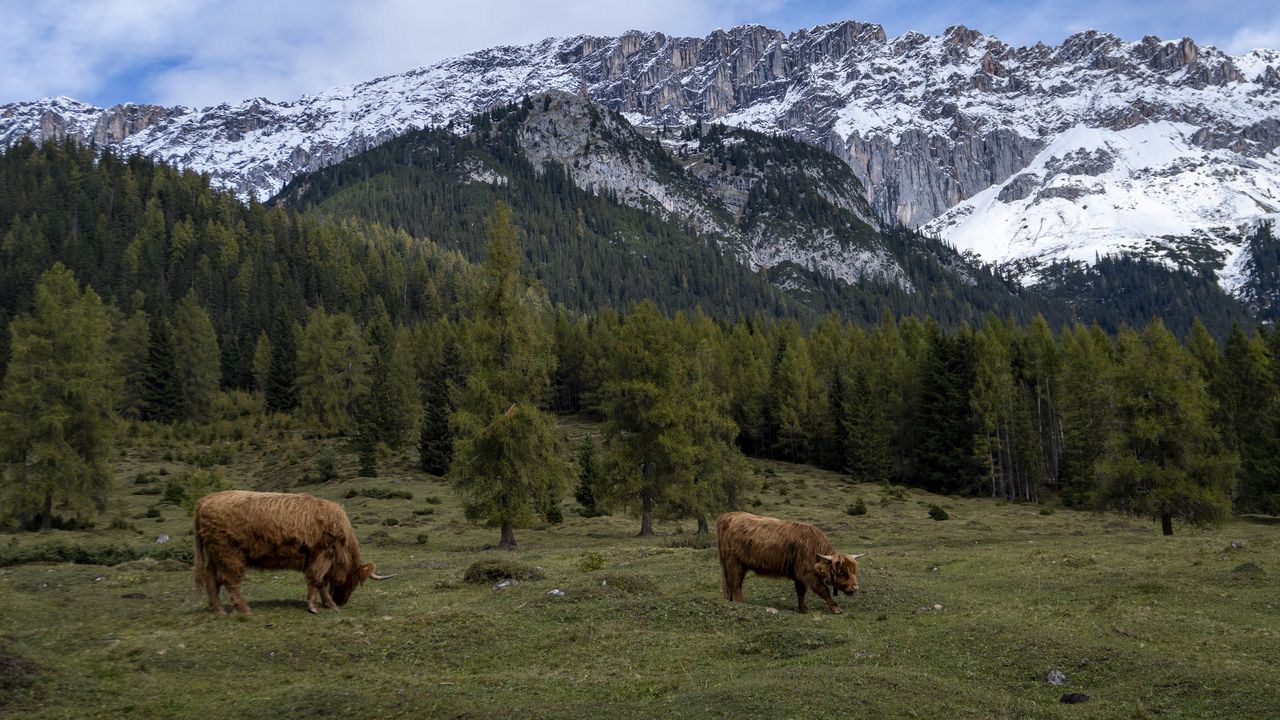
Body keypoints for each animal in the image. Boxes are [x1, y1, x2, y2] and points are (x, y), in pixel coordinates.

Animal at [192, 490, 391, 615]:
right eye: (353, 581)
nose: (343, 601)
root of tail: (204, 500)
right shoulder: (322, 554)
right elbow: (316, 579)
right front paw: (316, 606)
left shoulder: (318, 558)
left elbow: (321, 582)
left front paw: (329, 604)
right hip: (229, 554)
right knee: (230, 582)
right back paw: (244, 609)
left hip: (214, 555)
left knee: (211, 579)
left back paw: (219, 610)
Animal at [716, 511, 866, 614]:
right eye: (841, 572)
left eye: (854, 571)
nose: (855, 587)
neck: (814, 547)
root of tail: (727, 516)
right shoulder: (807, 573)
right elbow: (823, 590)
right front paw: (835, 608)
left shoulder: (799, 574)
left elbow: (800, 591)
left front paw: (803, 609)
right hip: (734, 563)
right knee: (735, 583)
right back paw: (740, 603)